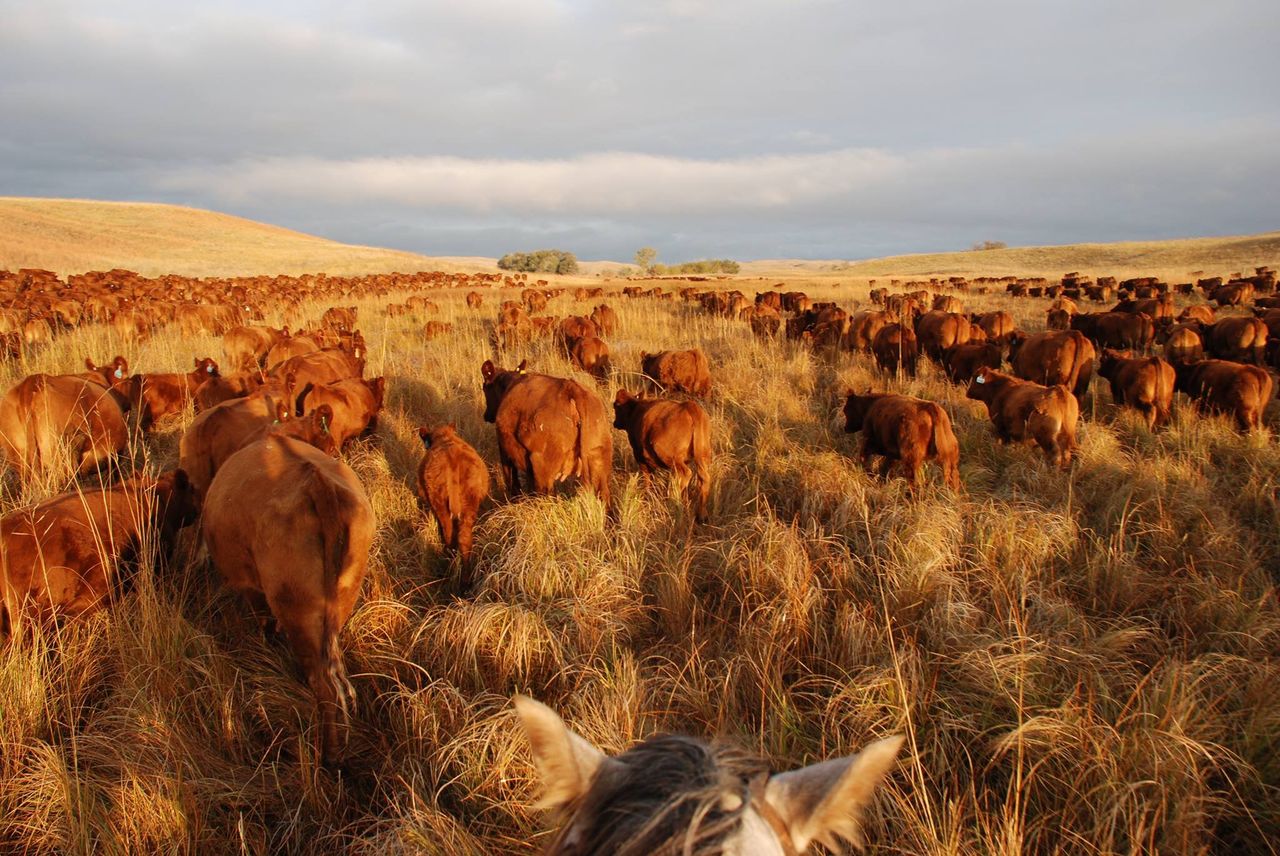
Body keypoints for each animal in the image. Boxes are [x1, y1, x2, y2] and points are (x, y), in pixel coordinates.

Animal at [202, 433, 375, 766]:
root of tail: (317, 482)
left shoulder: (250, 587)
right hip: (338, 600)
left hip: (298, 607)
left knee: (325, 686)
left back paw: (330, 757)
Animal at [480, 360, 612, 508]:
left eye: (484, 387)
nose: (487, 415)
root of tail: (570, 388)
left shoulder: (505, 452)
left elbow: (513, 484)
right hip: (598, 458)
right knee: (603, 494)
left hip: (543, 466)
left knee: (545, 495)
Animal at [612, 390, 712, 522]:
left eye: (616, 405)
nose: (615, 423)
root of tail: (689, 406)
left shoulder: (641, 458)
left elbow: (648, 479)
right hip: (702, 457)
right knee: (704, 478)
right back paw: (701, 515)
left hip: (672, 458)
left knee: (686, 473)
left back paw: (671, 500)